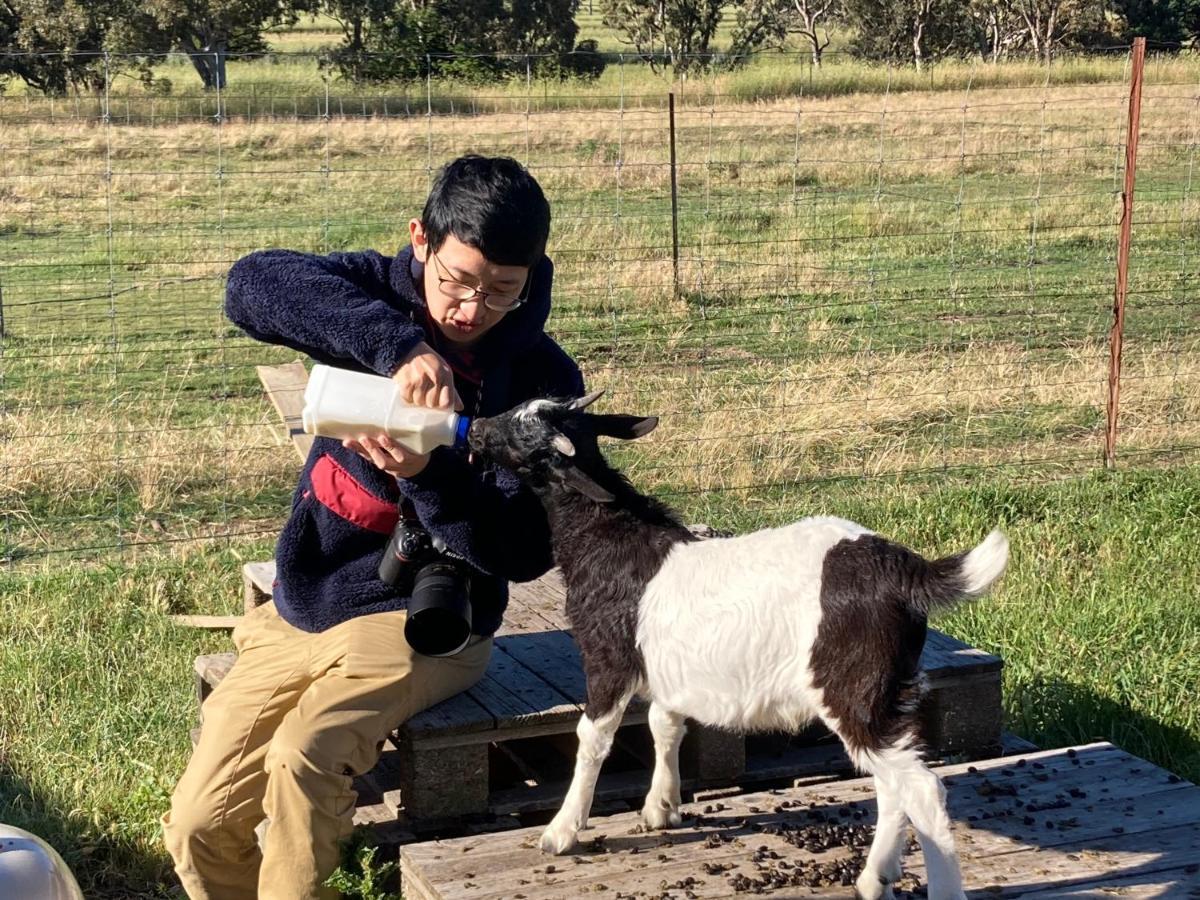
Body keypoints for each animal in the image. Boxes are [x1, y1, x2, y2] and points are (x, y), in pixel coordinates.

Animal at [463, 393, 1008, 900]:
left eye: (523, 433)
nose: (477, 428)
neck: (611, 540)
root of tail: (905, 571)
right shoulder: (670, 667)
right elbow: (665, 723)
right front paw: (662, 807)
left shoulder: (608, 659)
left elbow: (592, 738)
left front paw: (561, 831)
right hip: (883, 692)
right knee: (894, 782)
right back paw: (875, 877)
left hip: (852, 683)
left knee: (922, 788)